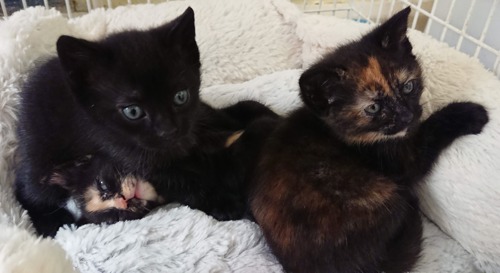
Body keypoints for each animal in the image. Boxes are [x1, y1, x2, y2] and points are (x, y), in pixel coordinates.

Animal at [249, 7, 488, 272]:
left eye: (408, 87)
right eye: (373, 108)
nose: (407, 116)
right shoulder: (402, 158)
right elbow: (430, 131)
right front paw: (470, 113)